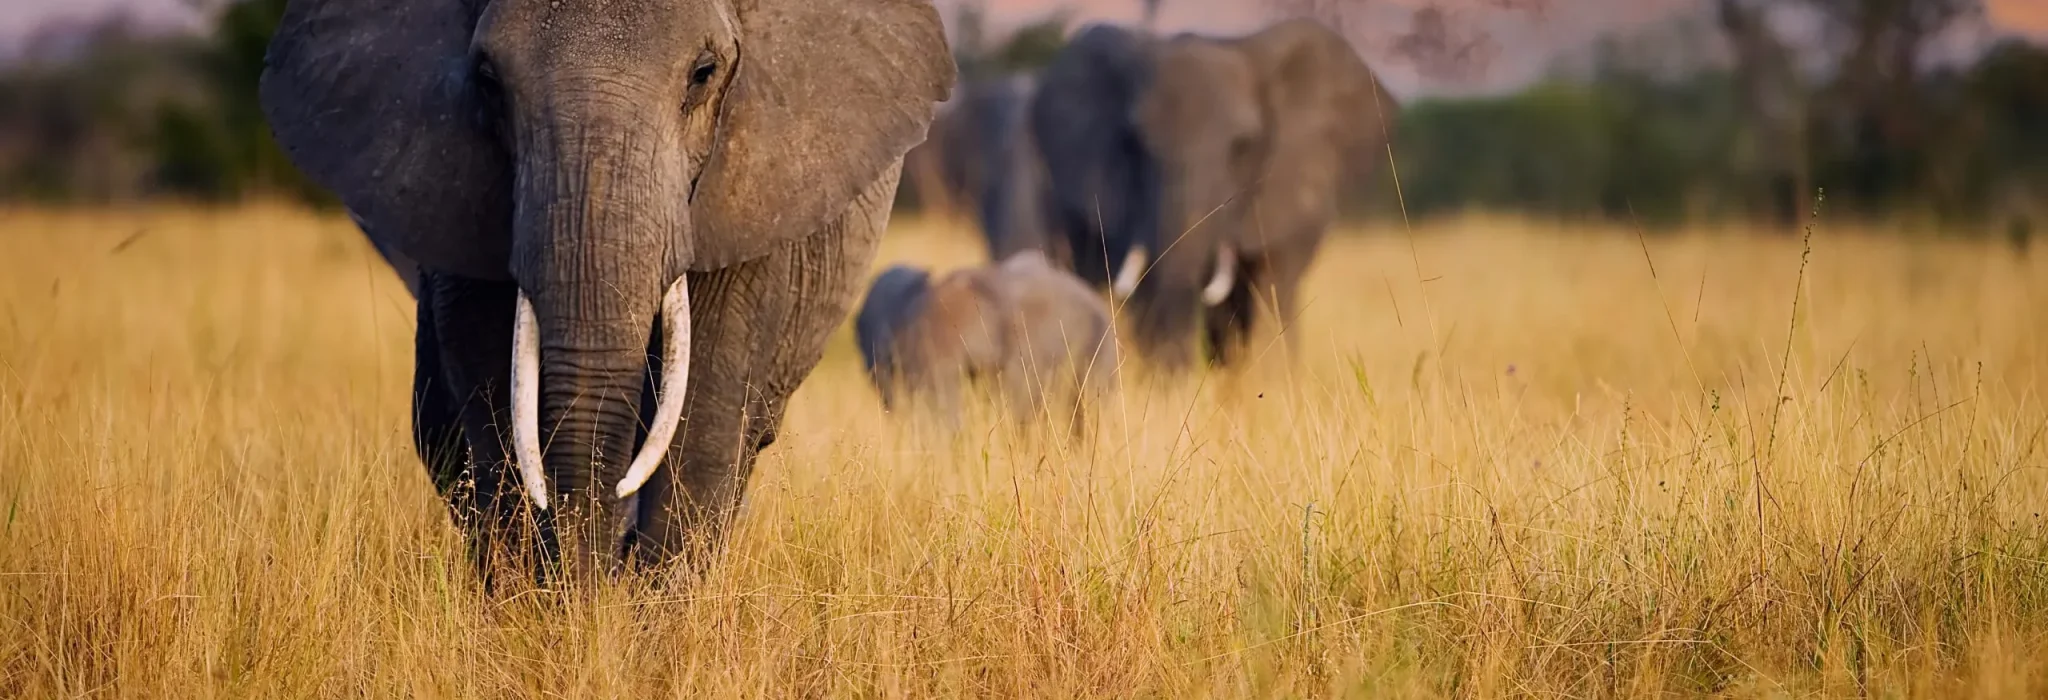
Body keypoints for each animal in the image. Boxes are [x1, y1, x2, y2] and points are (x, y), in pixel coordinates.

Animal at [258, 0, 954, 578]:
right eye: (488, 80)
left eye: (704, 73)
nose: (589, 595)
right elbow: (493, 405)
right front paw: (540, 623)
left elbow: (702, 427)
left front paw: (643, 637)